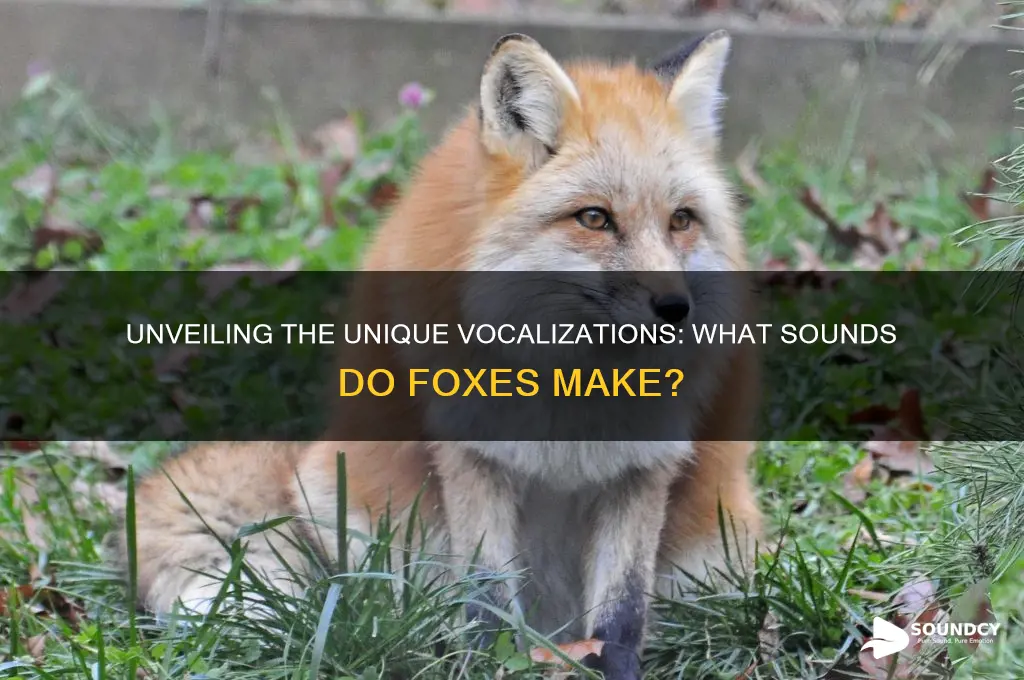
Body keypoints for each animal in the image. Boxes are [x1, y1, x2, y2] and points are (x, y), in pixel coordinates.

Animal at [110, 30, 762, 679]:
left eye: (681, 220)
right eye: (595, 218)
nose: (676, 308)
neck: (572, 394)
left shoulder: (645, 467)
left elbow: (622, 613)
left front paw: (613, 669)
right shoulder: (471, 454)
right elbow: (486, 595)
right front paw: (486, 664)